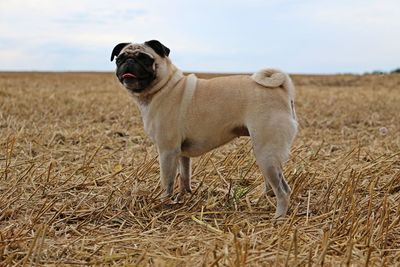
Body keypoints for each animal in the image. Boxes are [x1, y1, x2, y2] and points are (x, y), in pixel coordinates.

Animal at [109, 40, 296, 220]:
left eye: (144, 58)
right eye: (120, 59)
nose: (129, 61)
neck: (164, 86)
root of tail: (281, 89)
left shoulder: (167, 152)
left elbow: (167, 183)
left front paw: (163, 203)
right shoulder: (181, 154)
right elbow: (184, 178)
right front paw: (183, 198)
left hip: (266, 153)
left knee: (283, 191)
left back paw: (278, 217)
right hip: (265, 154)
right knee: (271, 187)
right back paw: (259, 202)